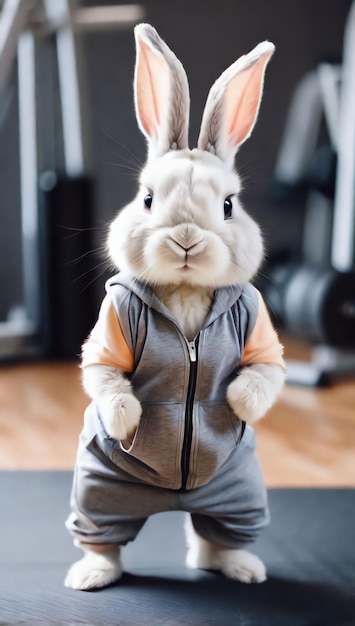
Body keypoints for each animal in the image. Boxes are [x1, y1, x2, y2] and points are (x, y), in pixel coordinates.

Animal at [64, 23, 286, 588]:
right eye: (147, 199)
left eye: (227, 206)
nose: (186, 239)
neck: (185, 297)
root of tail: (178, 501)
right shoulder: (112, 324)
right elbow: (104, 373)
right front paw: (127, 419)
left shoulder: (257, 323)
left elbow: (266, 370)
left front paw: (239, 402)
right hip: (99, 489)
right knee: (102, 535)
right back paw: (91, 575)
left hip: (240, 496)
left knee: (216, 535)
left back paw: (240, 567)